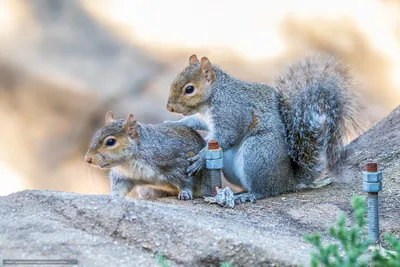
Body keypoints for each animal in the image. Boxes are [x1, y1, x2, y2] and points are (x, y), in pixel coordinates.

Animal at [166, 53, 362, 204]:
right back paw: (239, 192)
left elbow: (228, 135)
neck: (214, 95)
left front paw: (200, 158)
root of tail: (287, 182)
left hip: (257, 152)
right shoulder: (205, 119)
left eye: (189, 89)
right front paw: (173, 124)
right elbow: (194, 121)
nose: (170, 108)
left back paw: (248, 195)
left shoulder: (232, 111)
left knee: (264, 191)